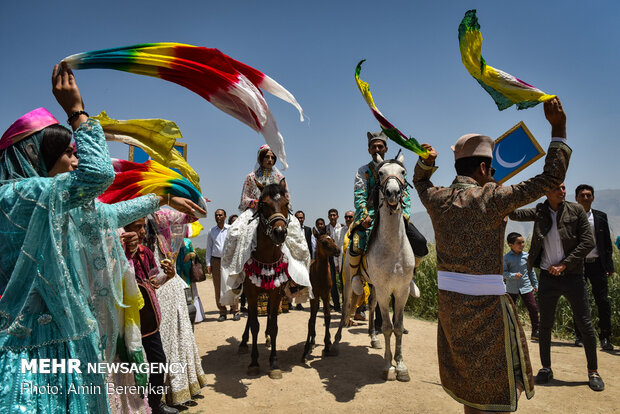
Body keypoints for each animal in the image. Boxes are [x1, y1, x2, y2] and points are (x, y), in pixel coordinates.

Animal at [237, 184, 290, 378]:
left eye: (286, 203)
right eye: (263, 204)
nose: (279, 232)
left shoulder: (276, 291)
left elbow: (274, 325)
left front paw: (274, 363)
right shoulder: (251, 292)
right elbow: (254, 324)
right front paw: (254, 362)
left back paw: (266, 337)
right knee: (251, 318)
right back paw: (243, 343)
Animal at [300, 228, 340, 360]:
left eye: (333, 239)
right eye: (324, 242)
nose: (338, 250)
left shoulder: (326, 295)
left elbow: (327, 317)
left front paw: (327, 344)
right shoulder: (314, 295)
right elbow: (312, 319)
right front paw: (306, 349)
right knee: (312, 316)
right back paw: (311, 341)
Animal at [332, 153, 414, 382]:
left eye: (402, 172)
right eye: (381, 173)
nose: (393, 192)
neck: (393, 248)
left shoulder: (401, 291)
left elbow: (398, 327)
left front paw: (401, 366)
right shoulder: (387, 291)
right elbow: (387, 327)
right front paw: (388, 367)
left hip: (376, 286)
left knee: (371, 304)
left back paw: (373, 337)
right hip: (349, 281)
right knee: (345, 308)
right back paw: (334, 343)